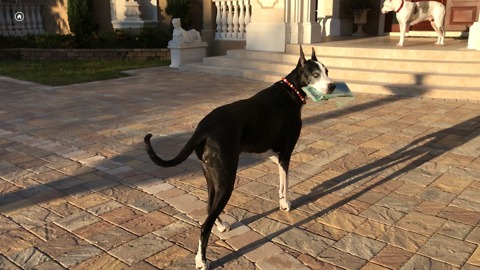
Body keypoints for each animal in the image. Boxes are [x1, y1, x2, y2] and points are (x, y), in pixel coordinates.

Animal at [144, 46, 336, 270]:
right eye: (315, 74)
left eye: (327, 71)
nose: (332, 86)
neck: (290, 91)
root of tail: (203, 128)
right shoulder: (286, 154)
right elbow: (284, 184)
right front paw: (285, 204)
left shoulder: (274, 154)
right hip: (227, 181)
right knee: (205, 224)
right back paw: (201, 260)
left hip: (213, 177)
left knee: (209, 208)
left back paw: (220, 227)